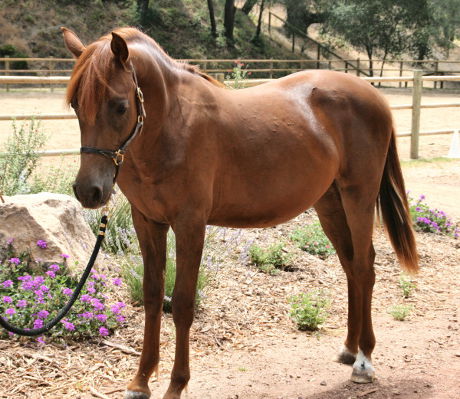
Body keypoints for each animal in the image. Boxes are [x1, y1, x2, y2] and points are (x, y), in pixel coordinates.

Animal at [63, 26, 418, 398]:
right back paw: (350, 349)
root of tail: (373, 95)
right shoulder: (148, 222)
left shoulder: (190, 225)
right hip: (330, 204)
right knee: (350, 266)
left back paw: (364, 361)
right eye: (76, 104)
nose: (89, 191)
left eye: (120, 106)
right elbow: (152, 296)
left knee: (364, 268)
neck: (173, 125)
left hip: (358, 197)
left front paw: (176, 384)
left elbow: (183, 303)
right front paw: (141, 381)